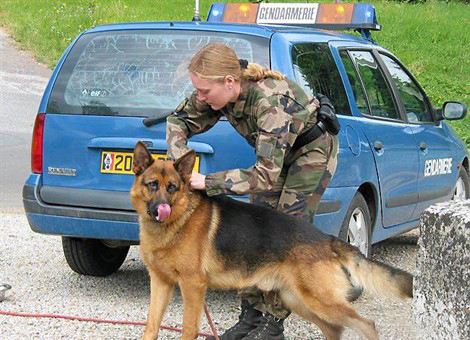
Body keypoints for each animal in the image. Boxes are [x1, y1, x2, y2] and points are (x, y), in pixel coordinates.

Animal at [130, 141, 414, 340]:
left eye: (172, 188)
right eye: (152, 184)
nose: (162, 210)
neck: (178, 222)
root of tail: (327, 239)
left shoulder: (192, 287)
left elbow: (188, 328)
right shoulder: (161, 283)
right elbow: (151, 324)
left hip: (321, 301)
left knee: (366, 324)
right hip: (299, 300)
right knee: (335, 329)